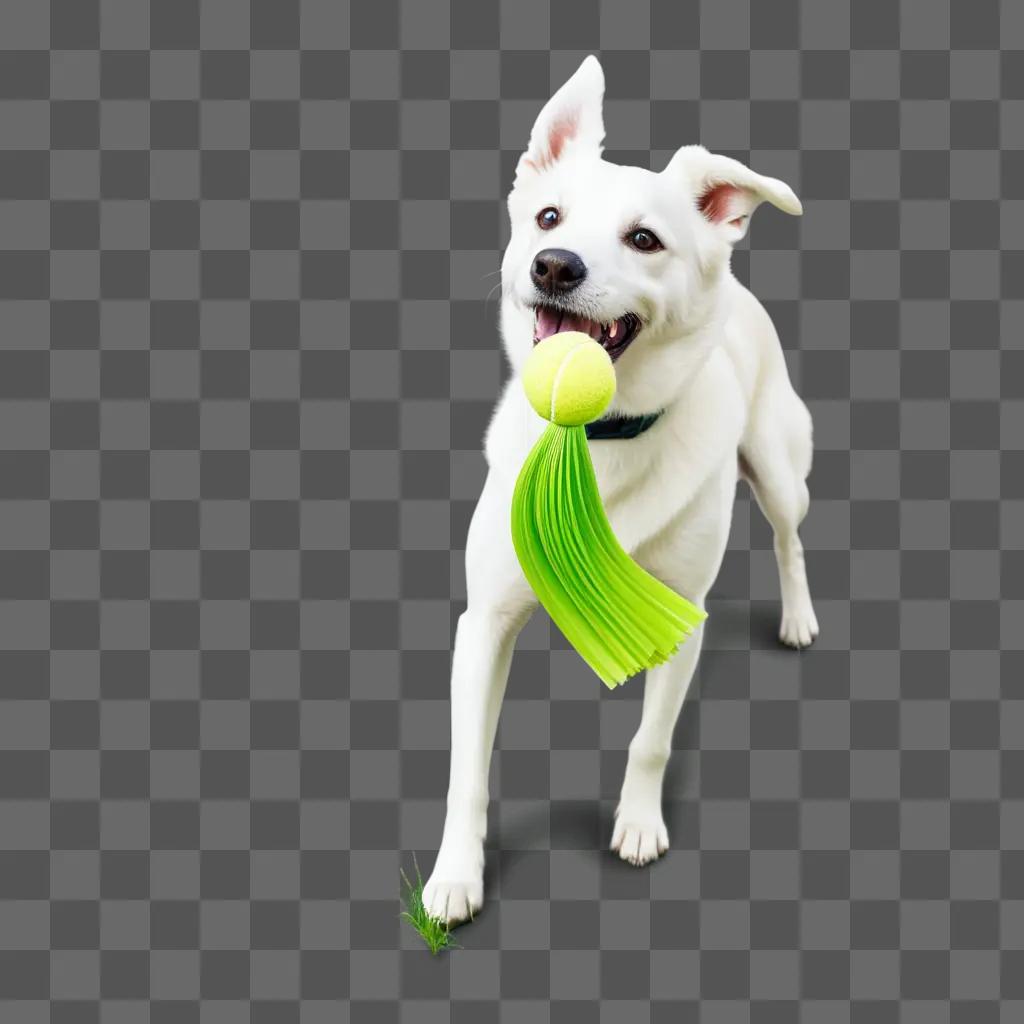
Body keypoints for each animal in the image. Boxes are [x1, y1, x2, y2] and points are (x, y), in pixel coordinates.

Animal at [421, 54, 815, 921]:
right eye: (548, 218)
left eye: (644, 240)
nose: (555, 266)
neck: (597, 440)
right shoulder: (483, 625)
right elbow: (466, 771)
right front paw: (455, 876)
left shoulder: (683, 618)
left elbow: (651, 741)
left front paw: (637, 824)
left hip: (776, 468)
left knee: (789, 538)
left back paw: (800, 618)